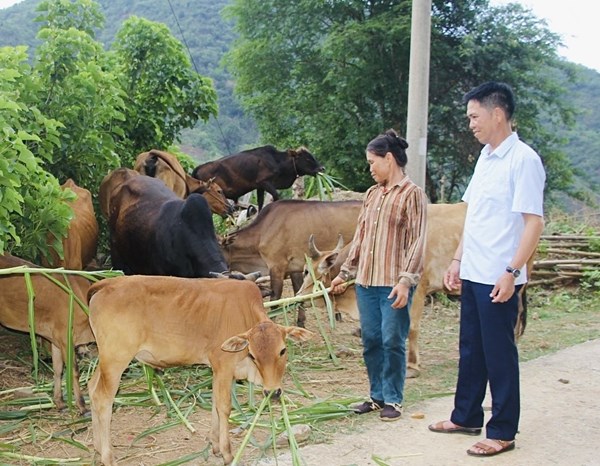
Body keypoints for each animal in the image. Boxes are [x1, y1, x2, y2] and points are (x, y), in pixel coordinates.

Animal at [0, 255, 93, 412]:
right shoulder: (66, 338)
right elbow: (73, 371)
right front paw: (82, 406)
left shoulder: (56, 340)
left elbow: (58, 370)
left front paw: (60, 402)